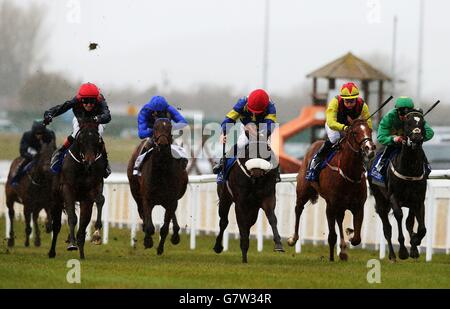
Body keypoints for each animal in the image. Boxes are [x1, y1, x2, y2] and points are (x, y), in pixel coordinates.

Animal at [47, 121, 106, 258]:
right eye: (81, 140)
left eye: (97, 141)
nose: (90, 162)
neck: (83, 167)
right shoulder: (68, 189)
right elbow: (72, 218)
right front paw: (72, 244)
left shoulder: (93, 188)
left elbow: (100, 200)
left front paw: (96, 235)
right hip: (56, 200)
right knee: (57, 226)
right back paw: (52, 252)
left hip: (84, 201)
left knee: (83, 224)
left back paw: (82, 253)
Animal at [126, 116, 188, 254]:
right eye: (155, 127)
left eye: (170, 127)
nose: (163, 144)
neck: (161, 170)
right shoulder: (147, 198)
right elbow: (149, 226)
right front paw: (148, 241)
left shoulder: (171, 199)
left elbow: (164, 227)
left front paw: (160, 248)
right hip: (136, 193)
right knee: (141, 211)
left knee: (171, 214)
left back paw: (175, 235)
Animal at [288, 118, 376, 260]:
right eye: (355, 132)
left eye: (370, 130)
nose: (369, 148)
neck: (349, 173)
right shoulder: (331, 205)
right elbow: (332, 235)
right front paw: (331, 258)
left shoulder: (358, 206)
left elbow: (357, 238)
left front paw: (349, 237)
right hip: (303, 191)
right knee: (298, 209)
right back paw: (293, 239)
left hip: (341, 206)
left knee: (339, 219)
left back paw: (343, 248)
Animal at [368, 110, 428, 260]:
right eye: (408, 123)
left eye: (422, 123)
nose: (416, 138)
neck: (409, 168)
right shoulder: (394, 197)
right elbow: (399, 215)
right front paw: (403, 251)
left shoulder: (418, 200)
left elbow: (421, 228)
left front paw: (415, 242)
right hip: (380, 200)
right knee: (387, 228)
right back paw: (392, 255)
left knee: (409, 222)